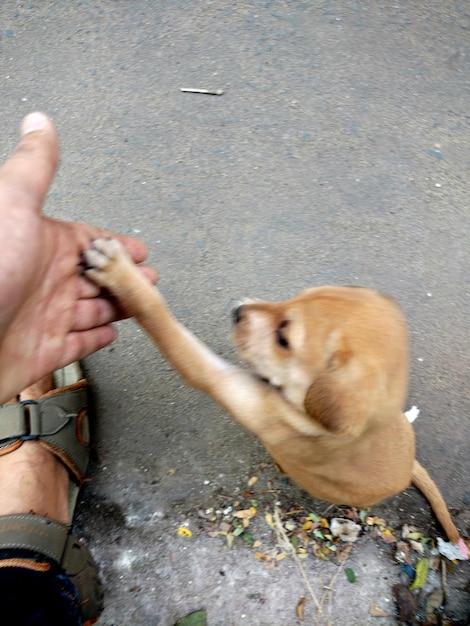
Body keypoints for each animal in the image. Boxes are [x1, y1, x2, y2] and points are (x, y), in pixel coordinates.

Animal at [83, 238, 458, 540]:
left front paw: (117, 270)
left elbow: (157, 315)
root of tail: (408, 468)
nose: (237, 310)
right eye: (299, 295)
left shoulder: (226, 384)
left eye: (284, 339)